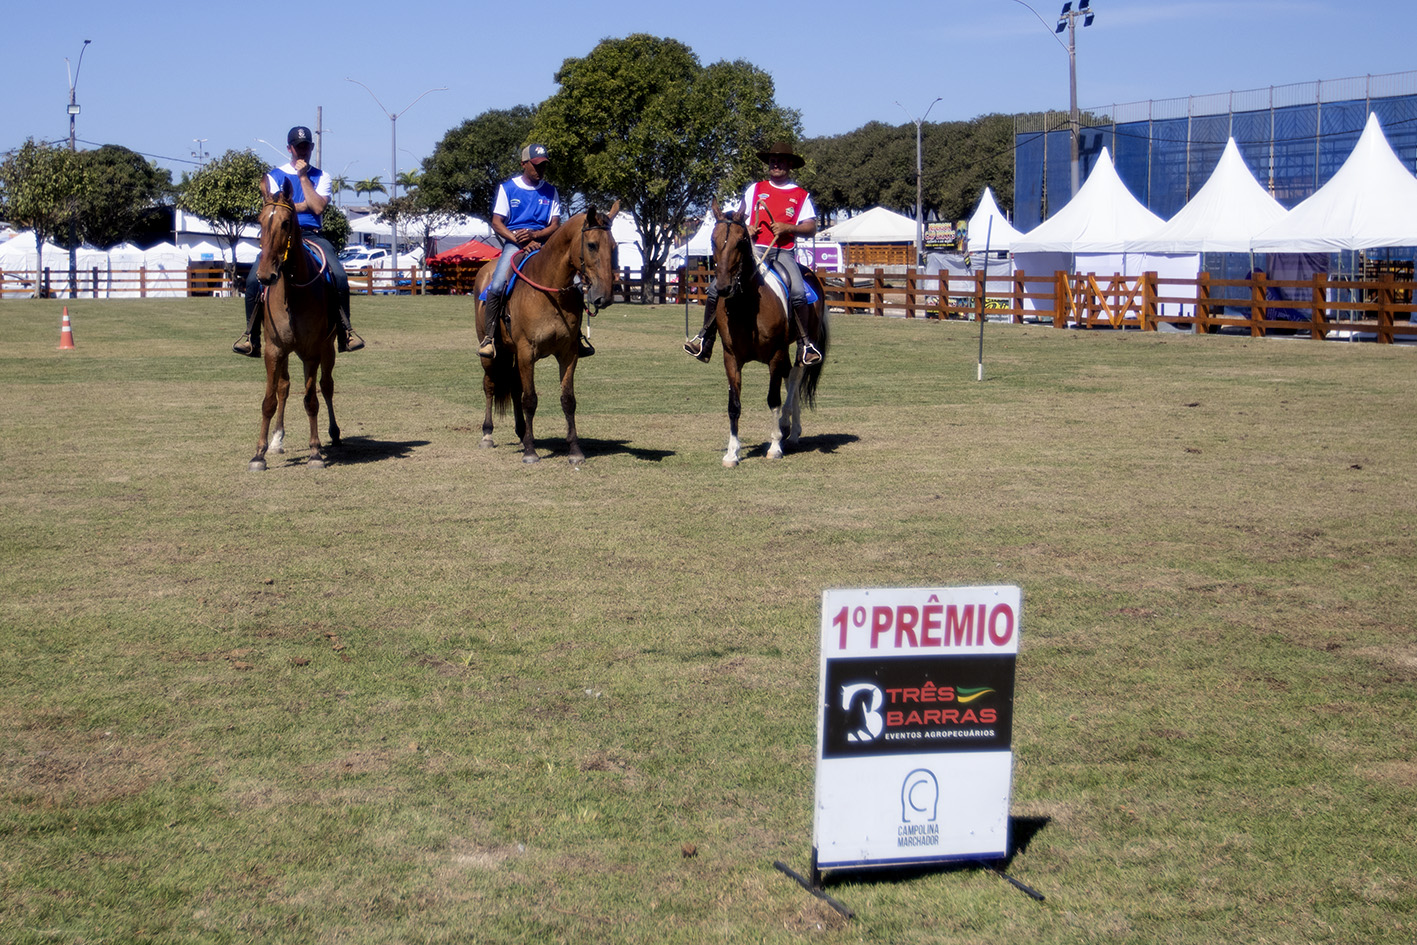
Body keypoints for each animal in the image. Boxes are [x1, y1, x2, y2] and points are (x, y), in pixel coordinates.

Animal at [247, 177, 338, 473]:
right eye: (260, 220)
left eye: (287, 222)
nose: (265, 275)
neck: (293, 292)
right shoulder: (274, 350)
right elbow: (269, 400)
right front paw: (259, 454)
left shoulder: (312, 352)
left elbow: (311, 400)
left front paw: (315, 452)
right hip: (286, 352)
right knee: (284, 387)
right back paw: (277, 440)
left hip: (329, 348)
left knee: (327, 385)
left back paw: (334, 434)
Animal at [476, 201, 620, 464]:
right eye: (592, 245)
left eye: (614, 247)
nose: (604, 297)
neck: (549, 291)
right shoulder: (526, 351)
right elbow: (530, 399)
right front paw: (531, 452)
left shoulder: (568, 354)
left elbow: (568, 400)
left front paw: (574, 451)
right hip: (491, 352)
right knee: (490, 385)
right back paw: (488, 434)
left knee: (514, 386)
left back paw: (522, 433)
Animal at [708, 198, 827, 464]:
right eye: (712, 239)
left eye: (741, 241)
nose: (723, 288)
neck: (746, 306)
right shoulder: (731, 357)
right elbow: (734, 405)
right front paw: (732, 452)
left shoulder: (775, 354)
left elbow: (773, 399)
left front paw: (774, 447)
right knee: (790, 376)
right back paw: (790, 429)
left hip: (802, 344)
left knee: (795, 376)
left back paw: (789, 429)